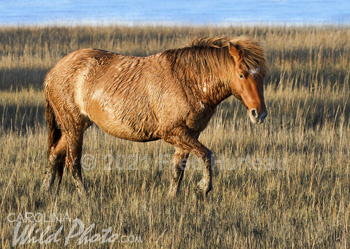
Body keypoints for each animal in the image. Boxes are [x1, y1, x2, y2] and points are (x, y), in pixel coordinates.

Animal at [42, 36, 268, 198]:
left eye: (262, 75)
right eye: (241, 74)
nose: (260, 114)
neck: (188, 81)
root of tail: (52, 72)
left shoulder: (188, 135)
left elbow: (178, 170)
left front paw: (172, 198)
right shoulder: (173, 132)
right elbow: (206, 155)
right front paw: (202, 188)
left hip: (75, 127)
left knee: (54, 154)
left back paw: (46, 190)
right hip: (74, 126)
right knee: (73, 162)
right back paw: (85, 196)